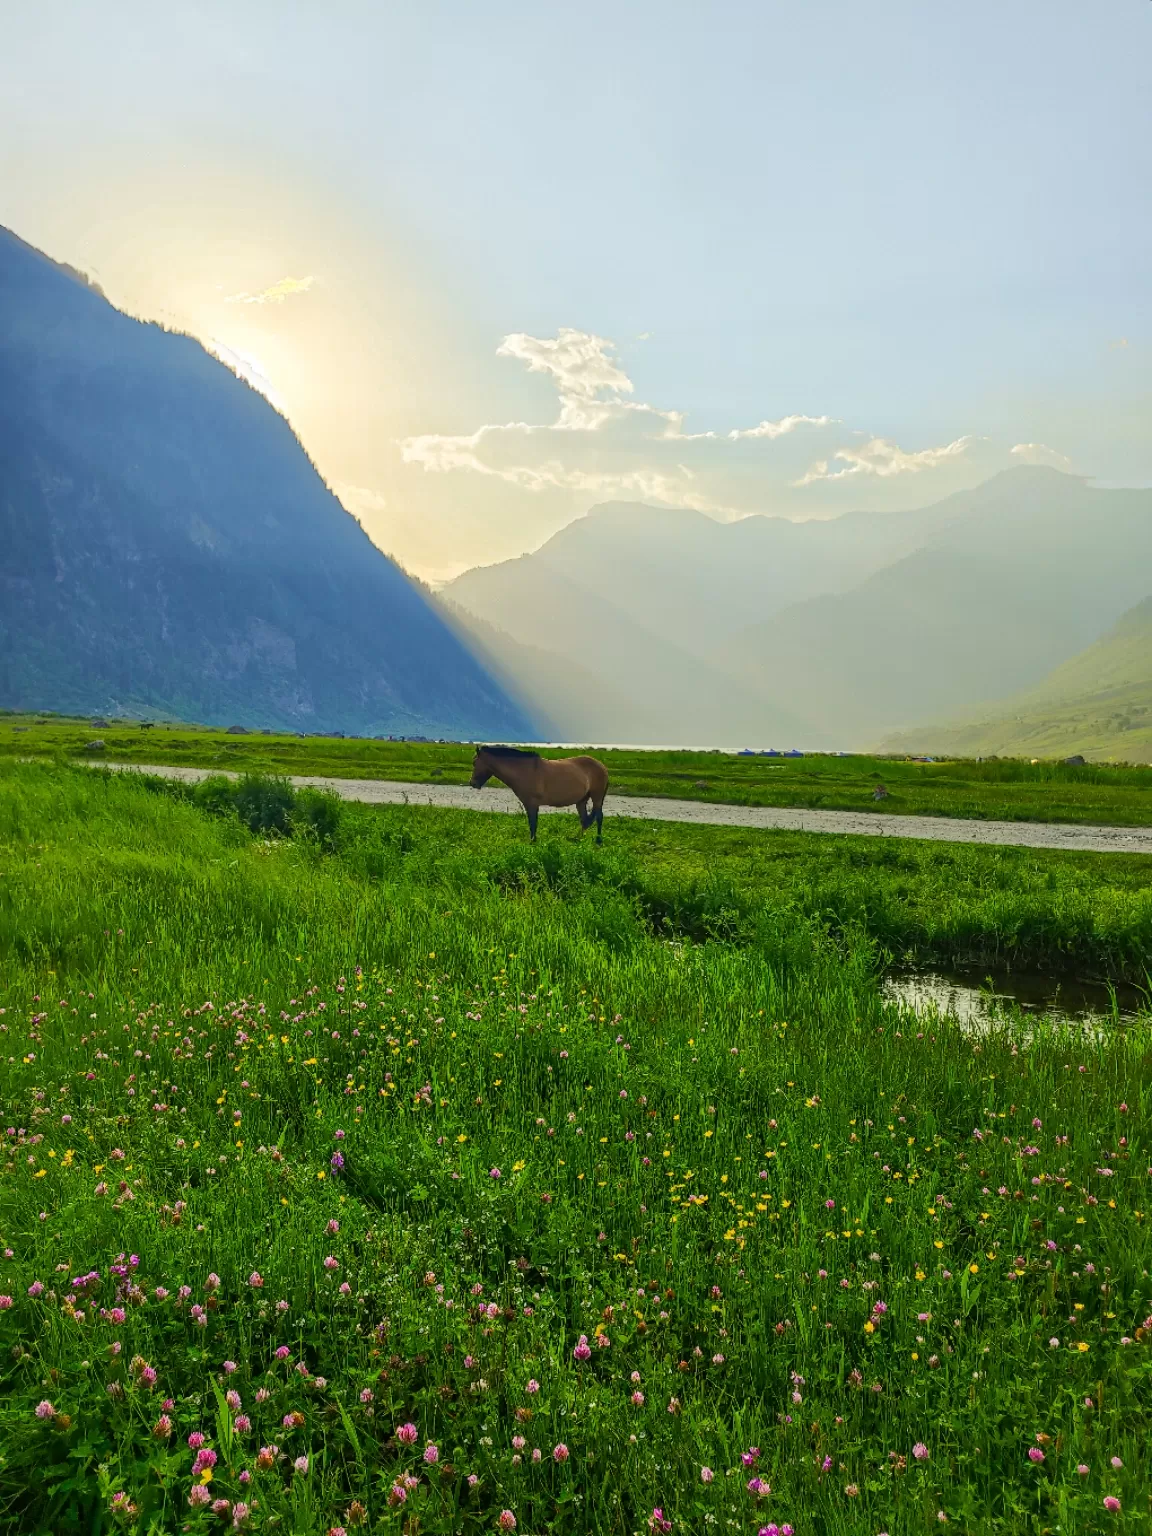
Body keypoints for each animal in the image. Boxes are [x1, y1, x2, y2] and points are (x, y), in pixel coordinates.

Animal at [470, 743, 614, 841]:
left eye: (474, 762)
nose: (473, 783)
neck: (524, 771)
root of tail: (602, 766)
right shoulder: (529, 805)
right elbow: (532, 824)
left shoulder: (532, 804)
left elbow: (533, 824)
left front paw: (532, 842)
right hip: (581, 800)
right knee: (584, 820)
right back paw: (578, 839)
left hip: (597, 797)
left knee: (599, 817)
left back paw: (598, 841)